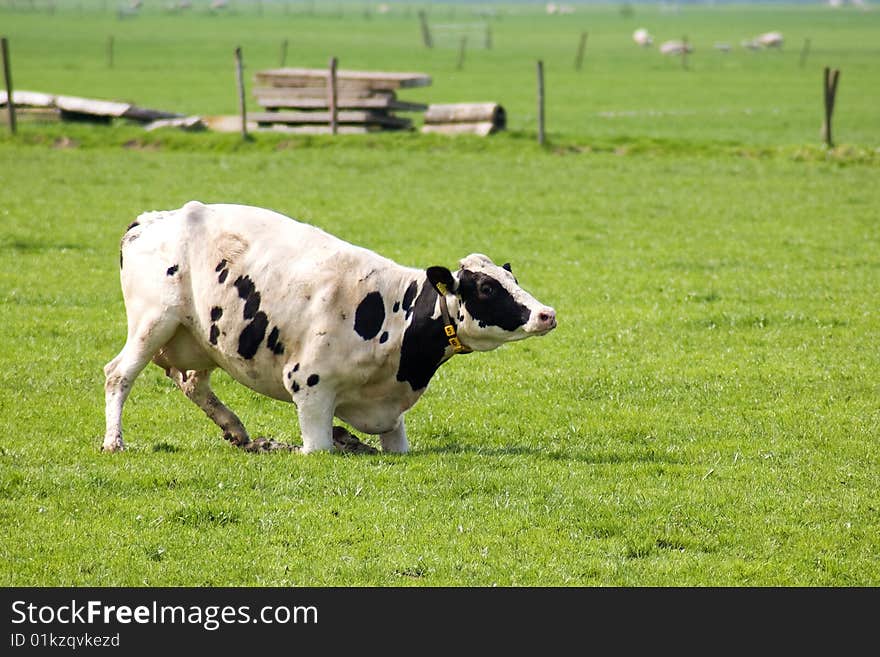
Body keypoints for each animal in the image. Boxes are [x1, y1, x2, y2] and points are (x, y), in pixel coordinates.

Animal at [103, 202, 556, 454]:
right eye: (486, 287)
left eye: (512, 278)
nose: (546, 313)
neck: (394, 315)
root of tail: (153, 219)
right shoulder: (310, 387)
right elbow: (317, 447)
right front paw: (293, 445)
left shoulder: (390, 413)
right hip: (153, 321)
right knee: (118, 374)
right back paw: (114, 442)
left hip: (200, 337)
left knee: (193, 382)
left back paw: (237, 430)